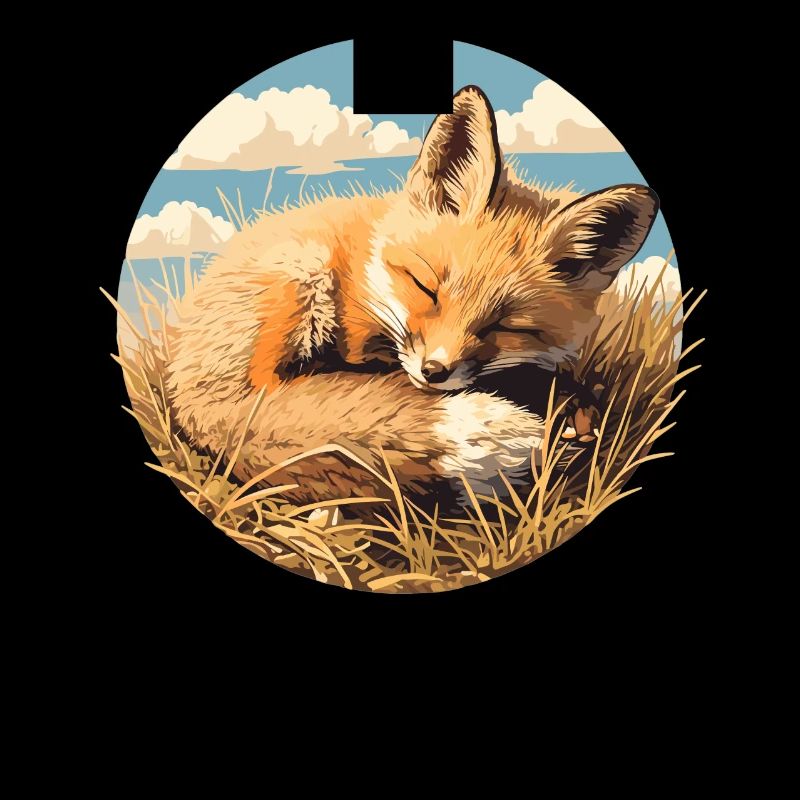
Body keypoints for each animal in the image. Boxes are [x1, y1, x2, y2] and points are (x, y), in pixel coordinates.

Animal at [166, 85, 658, 504]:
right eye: (427, 288)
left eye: (504, 325)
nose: (434, 371)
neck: (370, 271)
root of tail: (181, 385)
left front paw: (573, 402)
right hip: (299, 274)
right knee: (265, 395)